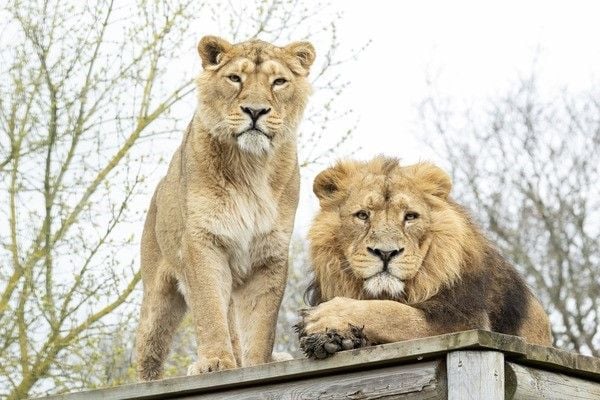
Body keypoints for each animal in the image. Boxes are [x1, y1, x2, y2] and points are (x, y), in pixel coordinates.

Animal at [134, 36, 316, 380]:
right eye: (235, 78)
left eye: (279, 82)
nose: (255, 111)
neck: (251, 166)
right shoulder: (203, 242)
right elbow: (209, 309)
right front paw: (215, 362)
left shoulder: (269, 252)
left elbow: (261, 323)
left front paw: (259, 364)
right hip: (158, 296)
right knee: (148, 347)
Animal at [296, 157, 552, 360]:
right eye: (362, 215)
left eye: (410, 216)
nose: (386, 253)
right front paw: (334, 338)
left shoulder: (469, 324)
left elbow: (395, 314)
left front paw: (322, 317)